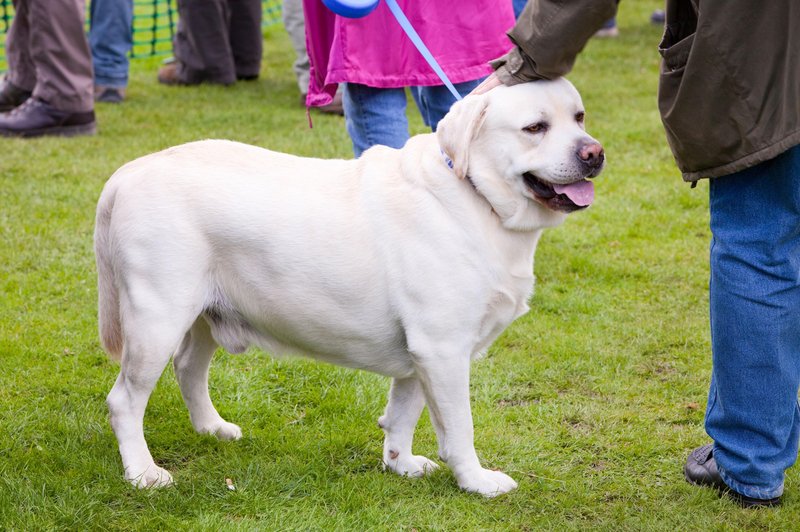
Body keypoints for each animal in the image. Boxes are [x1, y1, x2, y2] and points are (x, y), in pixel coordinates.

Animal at [95, 77, 600, 496]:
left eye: (578, 117)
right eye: (535, 127)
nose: (593, 153)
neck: (476, 197)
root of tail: (126, 173)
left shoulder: (423, 353)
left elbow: (403, 412)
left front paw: (400, 464)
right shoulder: (443, 348)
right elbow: (459, 428)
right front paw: (476, 480)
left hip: (204, 313)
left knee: (188, 368)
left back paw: (212, 429)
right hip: (158, 318)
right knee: (125, 401)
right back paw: (142, 474)